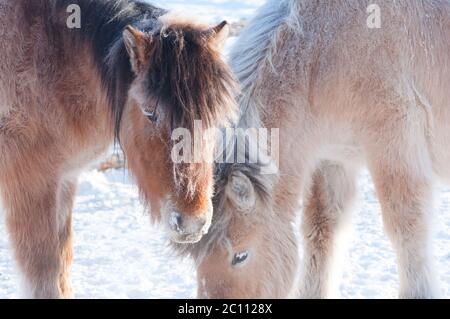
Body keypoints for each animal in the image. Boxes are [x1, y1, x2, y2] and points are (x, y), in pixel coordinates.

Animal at [0, 0, 237, 300]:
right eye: (150, 112)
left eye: (213, 116)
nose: (192, 223)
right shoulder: (31, 183)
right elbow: (45, 277)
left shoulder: (64, 179)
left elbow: (62, 266)